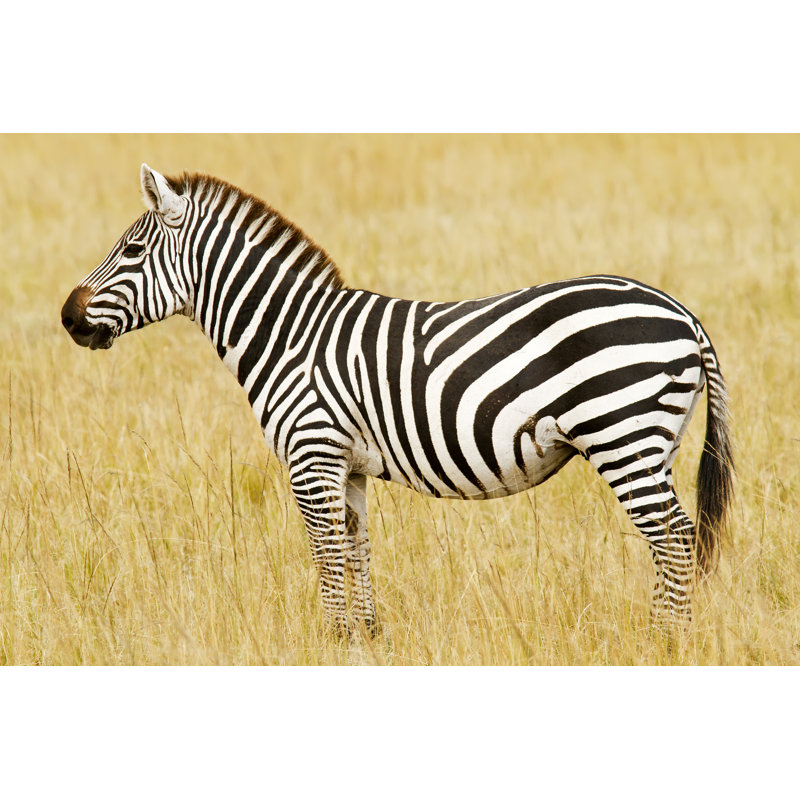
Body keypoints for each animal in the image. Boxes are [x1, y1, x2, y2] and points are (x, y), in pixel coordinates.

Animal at [61, 164, 734, 635]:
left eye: (132, 252)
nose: (68, 318)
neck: (290, 335)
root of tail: (681, 313)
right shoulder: (349, 466)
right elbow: (356, 551)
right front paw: (365, 638)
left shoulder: (311, 457)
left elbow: (326, 553)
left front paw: (333, 641)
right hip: (658, 442)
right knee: (675, 540)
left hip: (623, 436)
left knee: (675, 537)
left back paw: (663, 643)